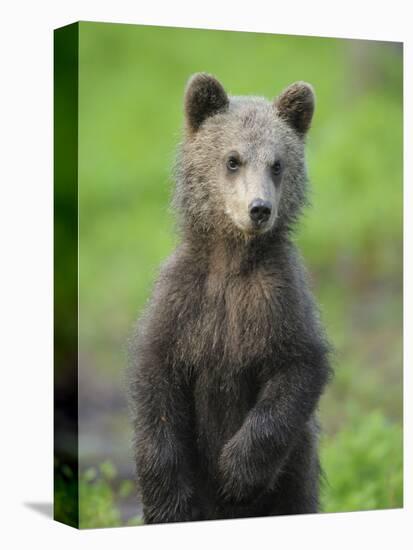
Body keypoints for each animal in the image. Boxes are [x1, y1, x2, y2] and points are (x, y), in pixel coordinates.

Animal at [129, 73, 332, 528]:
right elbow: (156, 384)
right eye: (233, 159)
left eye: (277, 163)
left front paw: (235, 474)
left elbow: (298, 370)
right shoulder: (183, 302)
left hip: (296, 473)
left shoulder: (278, 300)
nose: (259, 209)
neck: (232, 259)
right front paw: (168, 502)